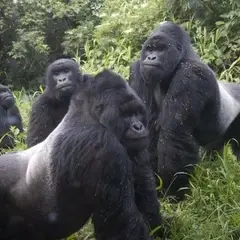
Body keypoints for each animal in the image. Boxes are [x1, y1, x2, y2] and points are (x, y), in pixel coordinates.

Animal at [0, 69, 163, 240]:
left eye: (137, 113)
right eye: (125, 115)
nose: (139, 126)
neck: (89, 115)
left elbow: (144, 188)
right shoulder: (102, 145)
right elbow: (121, 221)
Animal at [129, 20, 240, 201]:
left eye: (161, 49)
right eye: (150, 49)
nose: (151, 57)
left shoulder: (190, 76)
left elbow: (174, 137)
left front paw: (172, 192)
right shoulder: (138, 69)